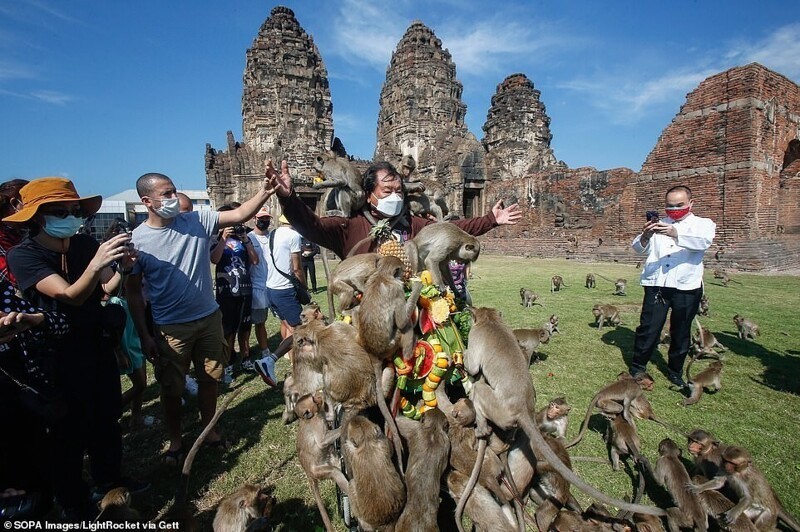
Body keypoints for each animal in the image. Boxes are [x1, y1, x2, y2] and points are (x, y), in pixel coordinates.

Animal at [290, 390, 346, 532]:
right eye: (314, 399)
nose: (317, 397)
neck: (310, 417)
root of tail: (308, 473)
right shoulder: (316, 421)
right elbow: (322, 441)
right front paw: (345, 425)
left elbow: (331, 417)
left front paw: (326, 392)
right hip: (317, 471)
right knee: (335, 472)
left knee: (332, 454)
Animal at [460, 306, 664, 524]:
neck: (490, 321)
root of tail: (523, 409)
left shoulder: (475, 336)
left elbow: (473, 366)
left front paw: (462, 355)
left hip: (498, 409)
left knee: (479, 389)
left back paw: (482, 427)